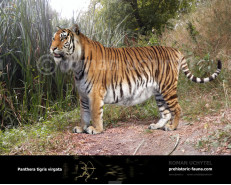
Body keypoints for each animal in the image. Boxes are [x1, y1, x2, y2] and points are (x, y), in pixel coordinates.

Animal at [50, 24, 222, 134]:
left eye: (63, 38)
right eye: (53, 38)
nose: (52, 48)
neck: (75, 65)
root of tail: (175, 49)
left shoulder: (95, 93)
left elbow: (95, 114)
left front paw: (96, 129)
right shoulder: (83, 95)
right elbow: (84, 114)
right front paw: (81, 128)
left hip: (167, 87)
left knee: (177, 109)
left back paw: (172, 127)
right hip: (159, 91)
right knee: (166, 112)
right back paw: (156, 126)